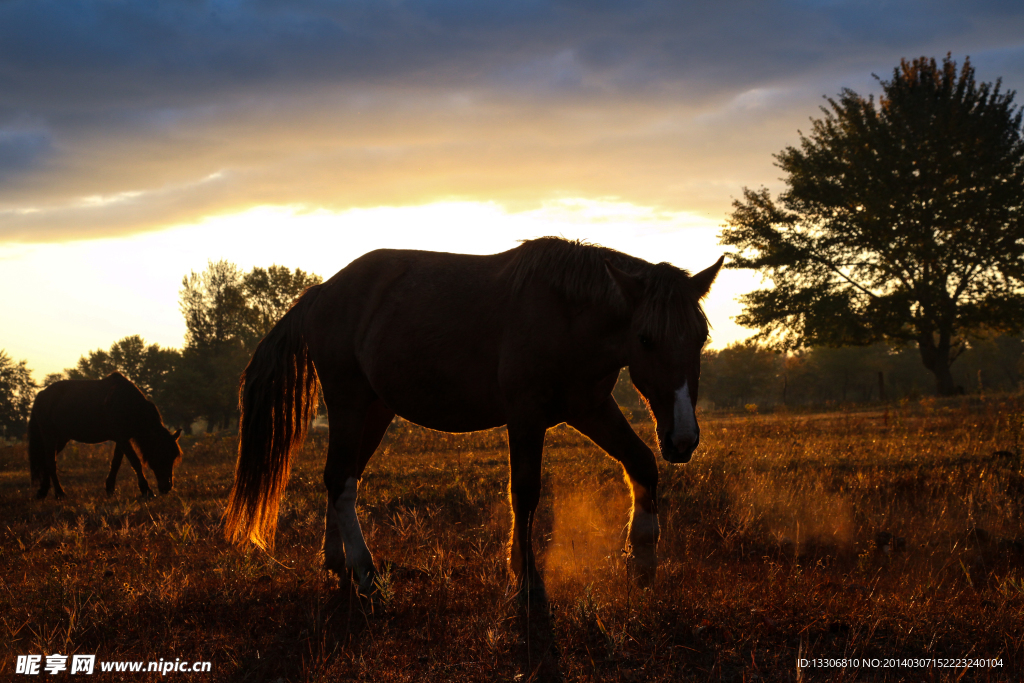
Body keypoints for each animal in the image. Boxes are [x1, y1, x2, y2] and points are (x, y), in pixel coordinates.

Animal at [28, 370, 184, 499]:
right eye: (162, 455)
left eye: (173, 457)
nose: (167, 487)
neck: (128, 404)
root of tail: (41, 395)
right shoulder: (122, 439)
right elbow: (135, 462)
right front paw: (147, 490)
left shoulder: (122, 439)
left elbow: (116, 463)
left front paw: (110, 489)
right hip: (49, 436)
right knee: (50, 462)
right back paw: (60, 493)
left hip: (61, 438)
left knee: (46, 461)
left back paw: (43, 491)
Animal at [226, 236, 720, 598]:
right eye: (646, 339)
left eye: (700, 337)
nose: (683, 439)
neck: (565, 315)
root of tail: (321, 292)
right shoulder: (525, 417)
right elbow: (524, 493)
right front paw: (525, 576)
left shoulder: (590, 409)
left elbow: (642, 463)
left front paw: (644, 558)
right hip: (348, 404)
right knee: (341, 481)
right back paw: (364, 571)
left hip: (375, 411)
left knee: (341, 478)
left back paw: (337, 562)